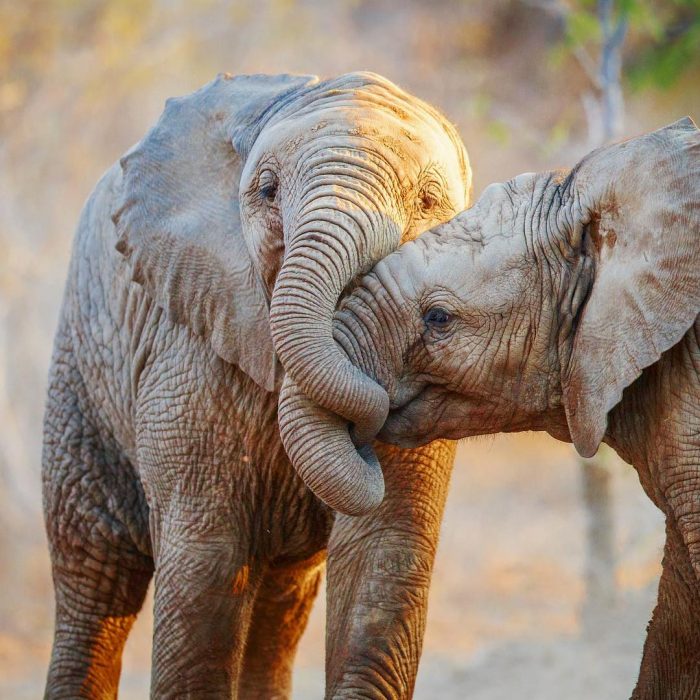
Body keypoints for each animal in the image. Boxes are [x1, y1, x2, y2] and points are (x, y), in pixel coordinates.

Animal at [42, 71, 472, 699]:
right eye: (267, 191)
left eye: (428, 202)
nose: (367, 427)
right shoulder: (188, 347)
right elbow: (208, 560)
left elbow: (382, 550)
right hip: (81, 369)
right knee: (94, 574)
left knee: (279, 603)